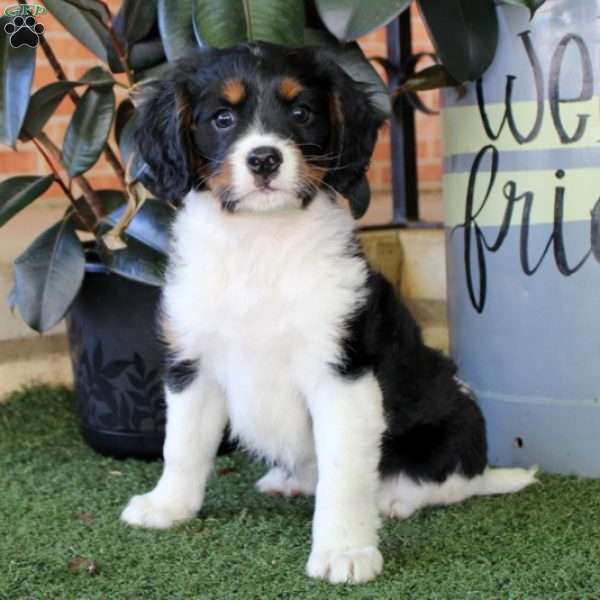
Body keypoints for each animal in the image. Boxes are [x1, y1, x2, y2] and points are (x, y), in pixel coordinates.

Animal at [119, 43, 536, 584]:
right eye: (222, 118)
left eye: (301, 113)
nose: (265, 159)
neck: (260, 245)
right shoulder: (194, 363)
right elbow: (183, 446)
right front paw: (167, 507)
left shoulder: (342, 374)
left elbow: (345, 475)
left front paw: (344, 551)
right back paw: (290, 480)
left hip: (457, 425)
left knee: (445, 482)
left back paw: (396, 499)